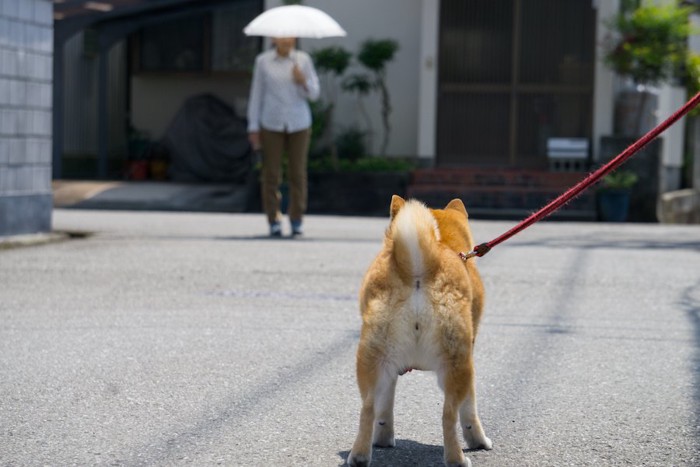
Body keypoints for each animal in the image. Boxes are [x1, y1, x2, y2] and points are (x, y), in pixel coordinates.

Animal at [348, 196, 492, 466]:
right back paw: (457, 459)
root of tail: (417, 271)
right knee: (449, 416)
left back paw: (360, 456)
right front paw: (479, 441)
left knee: (368, 408)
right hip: (458, 364)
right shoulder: (470, 356)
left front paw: (383, 437)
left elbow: (384, 409)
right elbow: (470, 411)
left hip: (374, 360)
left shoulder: (391, 371)